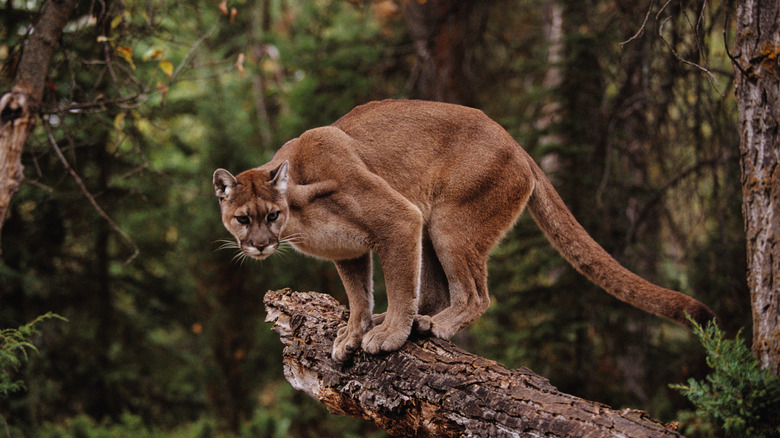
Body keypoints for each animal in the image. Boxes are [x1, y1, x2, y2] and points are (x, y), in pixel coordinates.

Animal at [212, 100, 712, 362]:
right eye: (242, 219)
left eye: (271, 216)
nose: (260, 246)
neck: (300, 212)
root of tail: (514, 142)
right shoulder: (349, 251)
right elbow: (359, 295)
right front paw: (354, 332)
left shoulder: (399, 219)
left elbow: (398, 285)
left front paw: (387, 336)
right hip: (433, 228)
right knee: (436, 291)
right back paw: (420, 321)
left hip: (448, 224)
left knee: (475, 294)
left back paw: (432, 326)